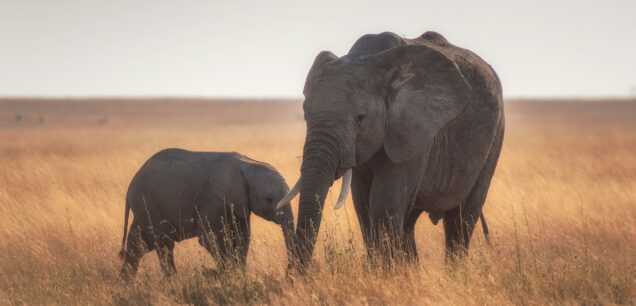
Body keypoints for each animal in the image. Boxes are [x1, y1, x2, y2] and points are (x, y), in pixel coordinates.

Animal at [118, 148, 294, 278]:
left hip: (144, 208)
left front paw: (240, 276)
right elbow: (209, 238)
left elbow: (242, 237)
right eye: (268, 199)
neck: (248, 164)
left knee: (139, 244)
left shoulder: (239, 204)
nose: (288, 274)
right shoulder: (213, 199)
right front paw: (227, 276)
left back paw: (126, 283)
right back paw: (172, 281)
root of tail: (130, 187)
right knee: (164, 244)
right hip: (148, 204)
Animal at [280, 31, 504, 268]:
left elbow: (384, 203)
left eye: (361, 118)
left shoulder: (414, 129)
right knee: (409, 222)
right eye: (306, 116)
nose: (295, 273)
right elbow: (363, 205)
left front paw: (386, 273)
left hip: (495, 136)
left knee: (461, 219)